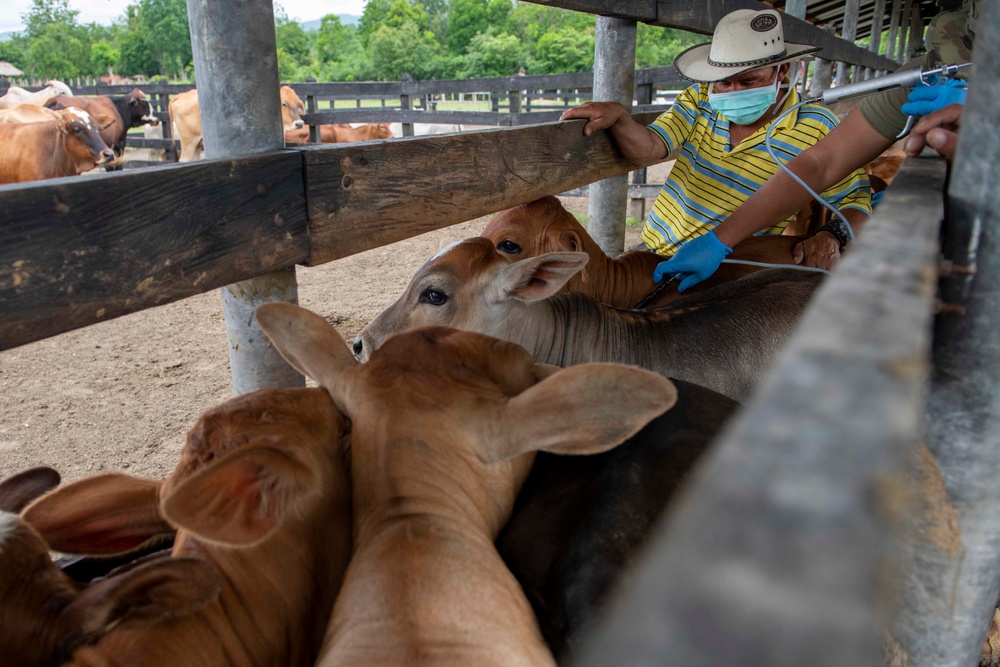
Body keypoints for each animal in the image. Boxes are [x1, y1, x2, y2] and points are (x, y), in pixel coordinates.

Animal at [172, 85, 304, 162]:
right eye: (284, 103)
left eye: (298, 103)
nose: (299, 123)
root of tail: (179, 96)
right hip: (188, 143)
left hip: (197, 145)